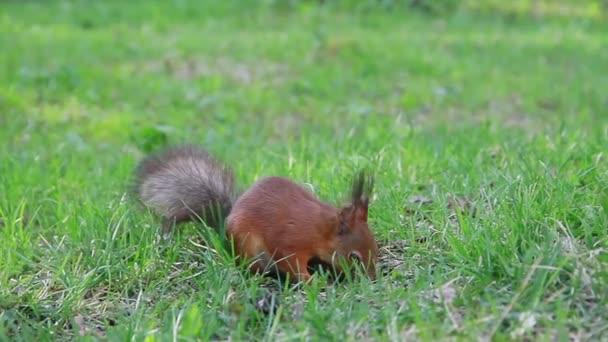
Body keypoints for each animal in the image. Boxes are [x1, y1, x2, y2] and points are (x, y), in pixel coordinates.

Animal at [133, 146, 378, 282]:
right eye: (354, 257)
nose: (372, 278)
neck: (319, 228)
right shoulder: (289, 242)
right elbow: (291, 264)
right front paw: (313, 282)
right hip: (248, 247)